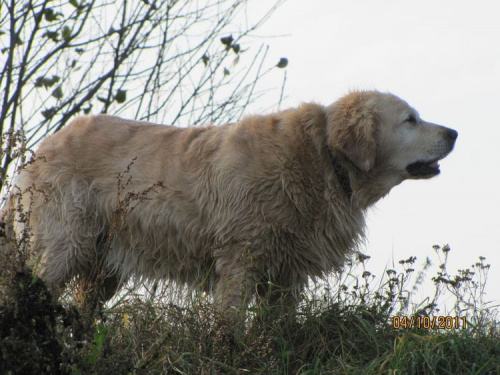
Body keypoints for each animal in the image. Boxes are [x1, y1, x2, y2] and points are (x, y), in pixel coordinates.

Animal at [4, 91, 458, 314]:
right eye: (410, 119)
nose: (454, 132)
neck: (323, 160)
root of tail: (41, 149)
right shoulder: (241, 260)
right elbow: (232, 329)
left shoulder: (286, 275)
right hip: (63, 248)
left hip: (102, 270)